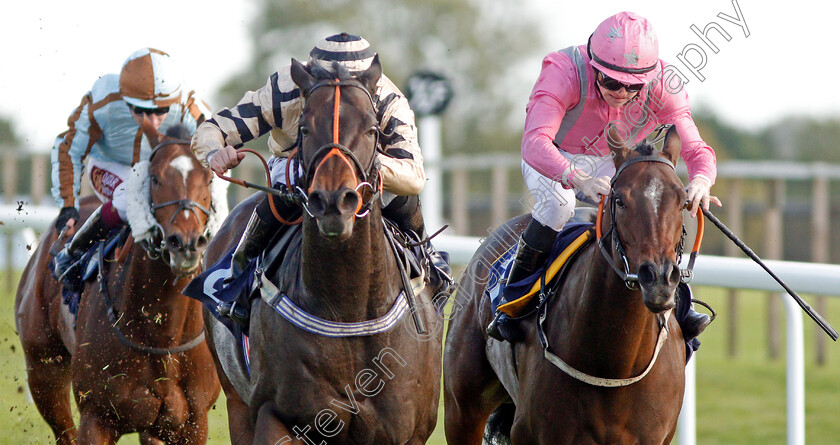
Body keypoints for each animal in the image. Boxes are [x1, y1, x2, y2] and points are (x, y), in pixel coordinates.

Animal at [16, 130, 226, 442]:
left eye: (209, 178)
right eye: (155, 178)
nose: (185, 244)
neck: (162, 333)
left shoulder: (193, 424)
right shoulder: (97, 417)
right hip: (43, 372)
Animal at [201, 57, 442, 442]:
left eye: (372, 129)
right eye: (304, 127)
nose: (332, 201)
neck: (348, 311)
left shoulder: (409, 432)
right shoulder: (276, 415)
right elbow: (219, 125)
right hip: (235, 401)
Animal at [446, 125, 688, 444]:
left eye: (683, 201)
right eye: (620, 200)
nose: (659, 278)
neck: (613, 366)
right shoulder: (531, 433)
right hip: (461, 408)